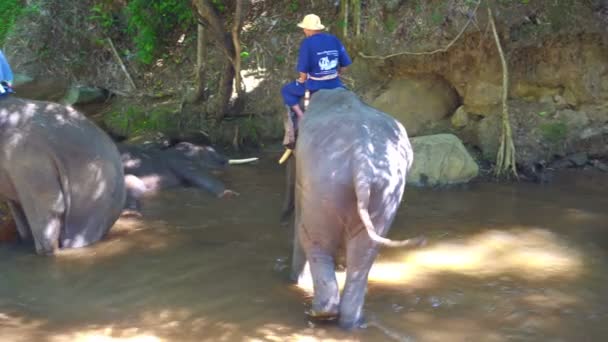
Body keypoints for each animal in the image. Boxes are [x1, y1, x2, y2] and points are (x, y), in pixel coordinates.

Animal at [286, 87, 426, 328]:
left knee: (314, 240)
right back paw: (351, 322)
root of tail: (361, 159)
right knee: (365, 252)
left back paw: (319, 313)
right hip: (385, 190)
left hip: (325, 184)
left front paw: (295, 280)